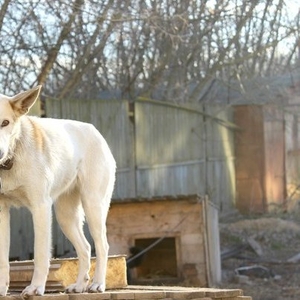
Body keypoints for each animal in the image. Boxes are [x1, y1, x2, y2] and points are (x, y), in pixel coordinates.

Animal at [0, 85, 116, 296]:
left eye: (5, 123)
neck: (11, 159)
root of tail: (95, 131)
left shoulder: (40, 207)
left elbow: (40, 254)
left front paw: (36, 288)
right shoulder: (2, 211)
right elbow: (3, 260)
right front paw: (1, 289)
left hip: (93, 206)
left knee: (102, 246)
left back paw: (98, 284)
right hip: (66, 217)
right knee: (86, 248)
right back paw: (79, 285)